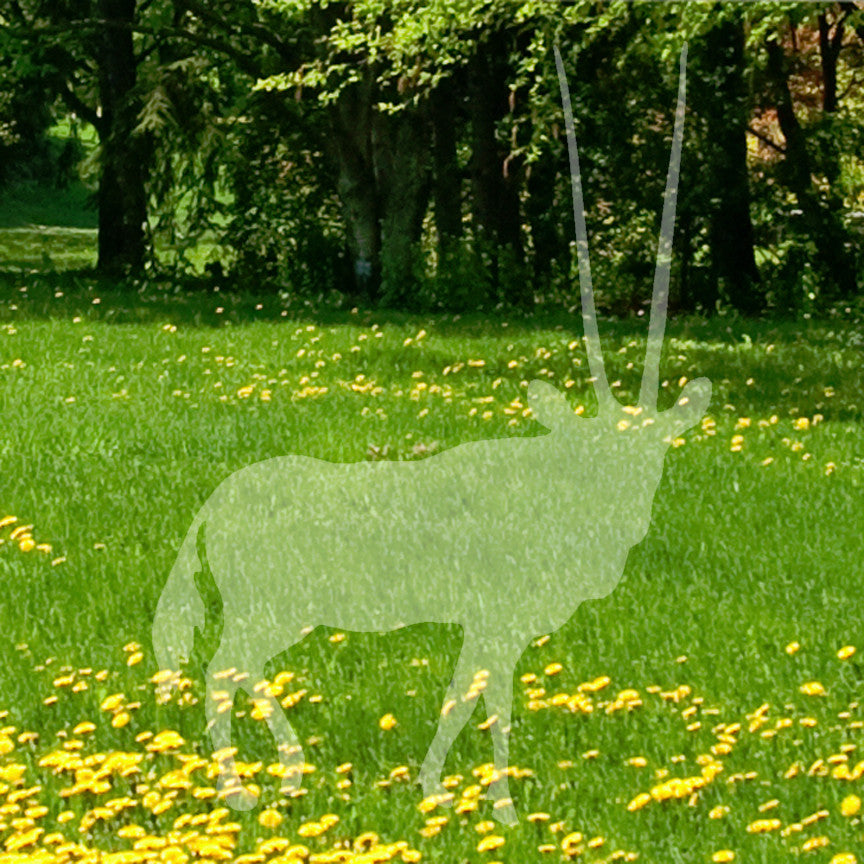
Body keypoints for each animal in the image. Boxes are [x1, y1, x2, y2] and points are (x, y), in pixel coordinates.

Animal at [152, 44, 709, 825]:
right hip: (275, 608)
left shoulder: (489, 627)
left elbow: (463, 695)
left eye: (655, 449)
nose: (625, 517)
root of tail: (213, 507)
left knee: (241, 668)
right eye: (595, 450)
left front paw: (440, 787)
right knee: (222, 669)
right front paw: (497, 806)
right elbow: (486, 701)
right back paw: (245, 786)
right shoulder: (497, 622)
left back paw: (288, 772)